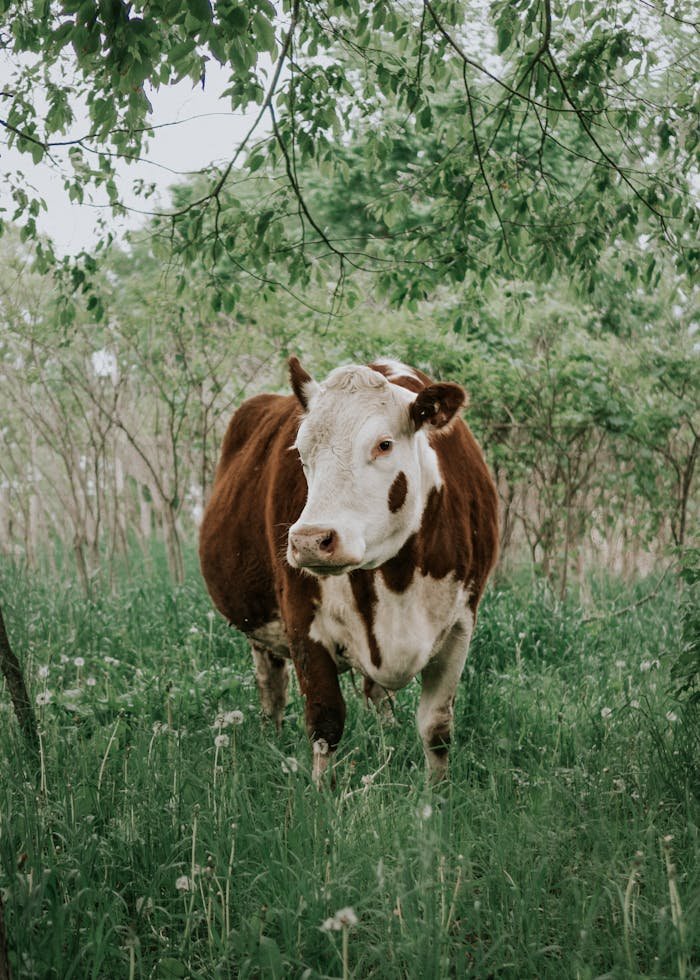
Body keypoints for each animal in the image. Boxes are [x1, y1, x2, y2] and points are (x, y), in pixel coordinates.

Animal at [199, 356, 499, 782]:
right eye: (301, 450)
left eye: (384, 444)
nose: (310, 540)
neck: (398, 577)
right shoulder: (302, 621)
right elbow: (325, 723)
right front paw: (322, 793)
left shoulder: (460, 623)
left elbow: (437, 726)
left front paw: (437, 794)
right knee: (271, 684)